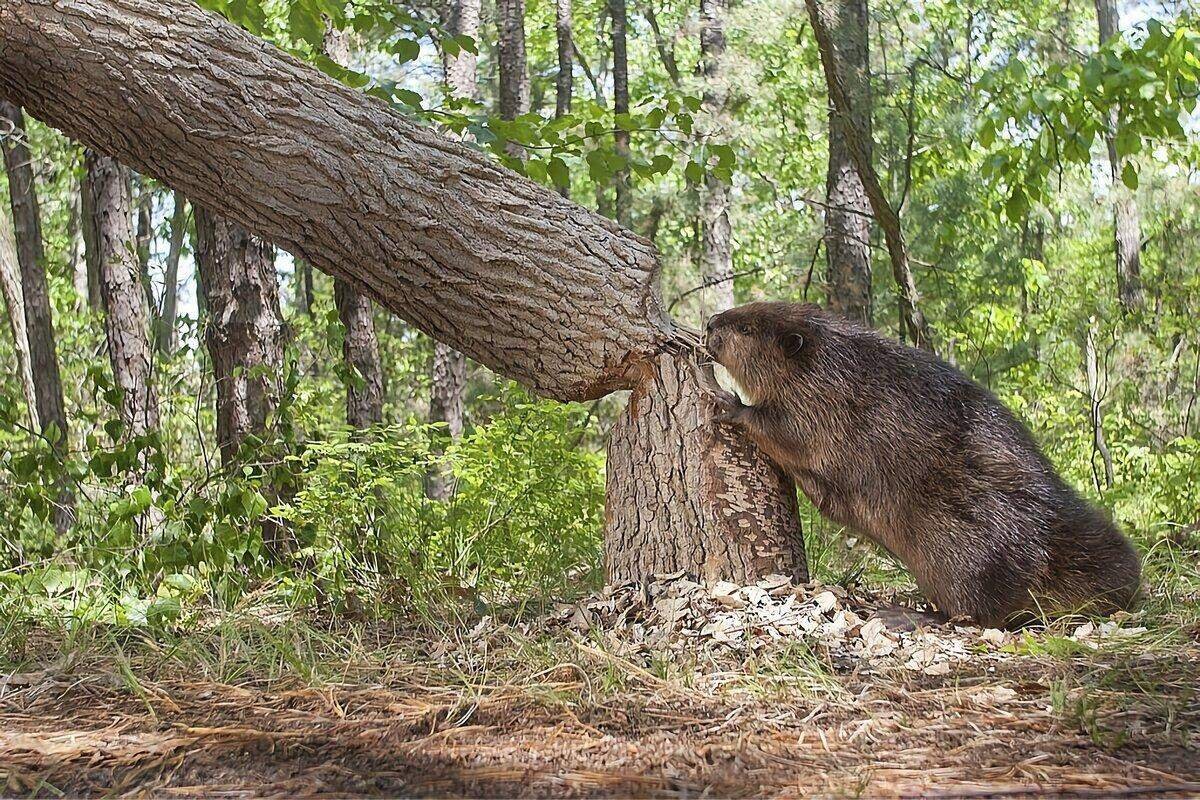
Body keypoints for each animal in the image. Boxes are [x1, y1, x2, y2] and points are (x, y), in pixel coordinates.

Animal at [700, 299, 1142, 623]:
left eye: (746, 328)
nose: (709, 323)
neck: (830, 359)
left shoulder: (823, 403)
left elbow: (786, 430)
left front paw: (727, 402)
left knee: (974, 613)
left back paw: (902, 614)